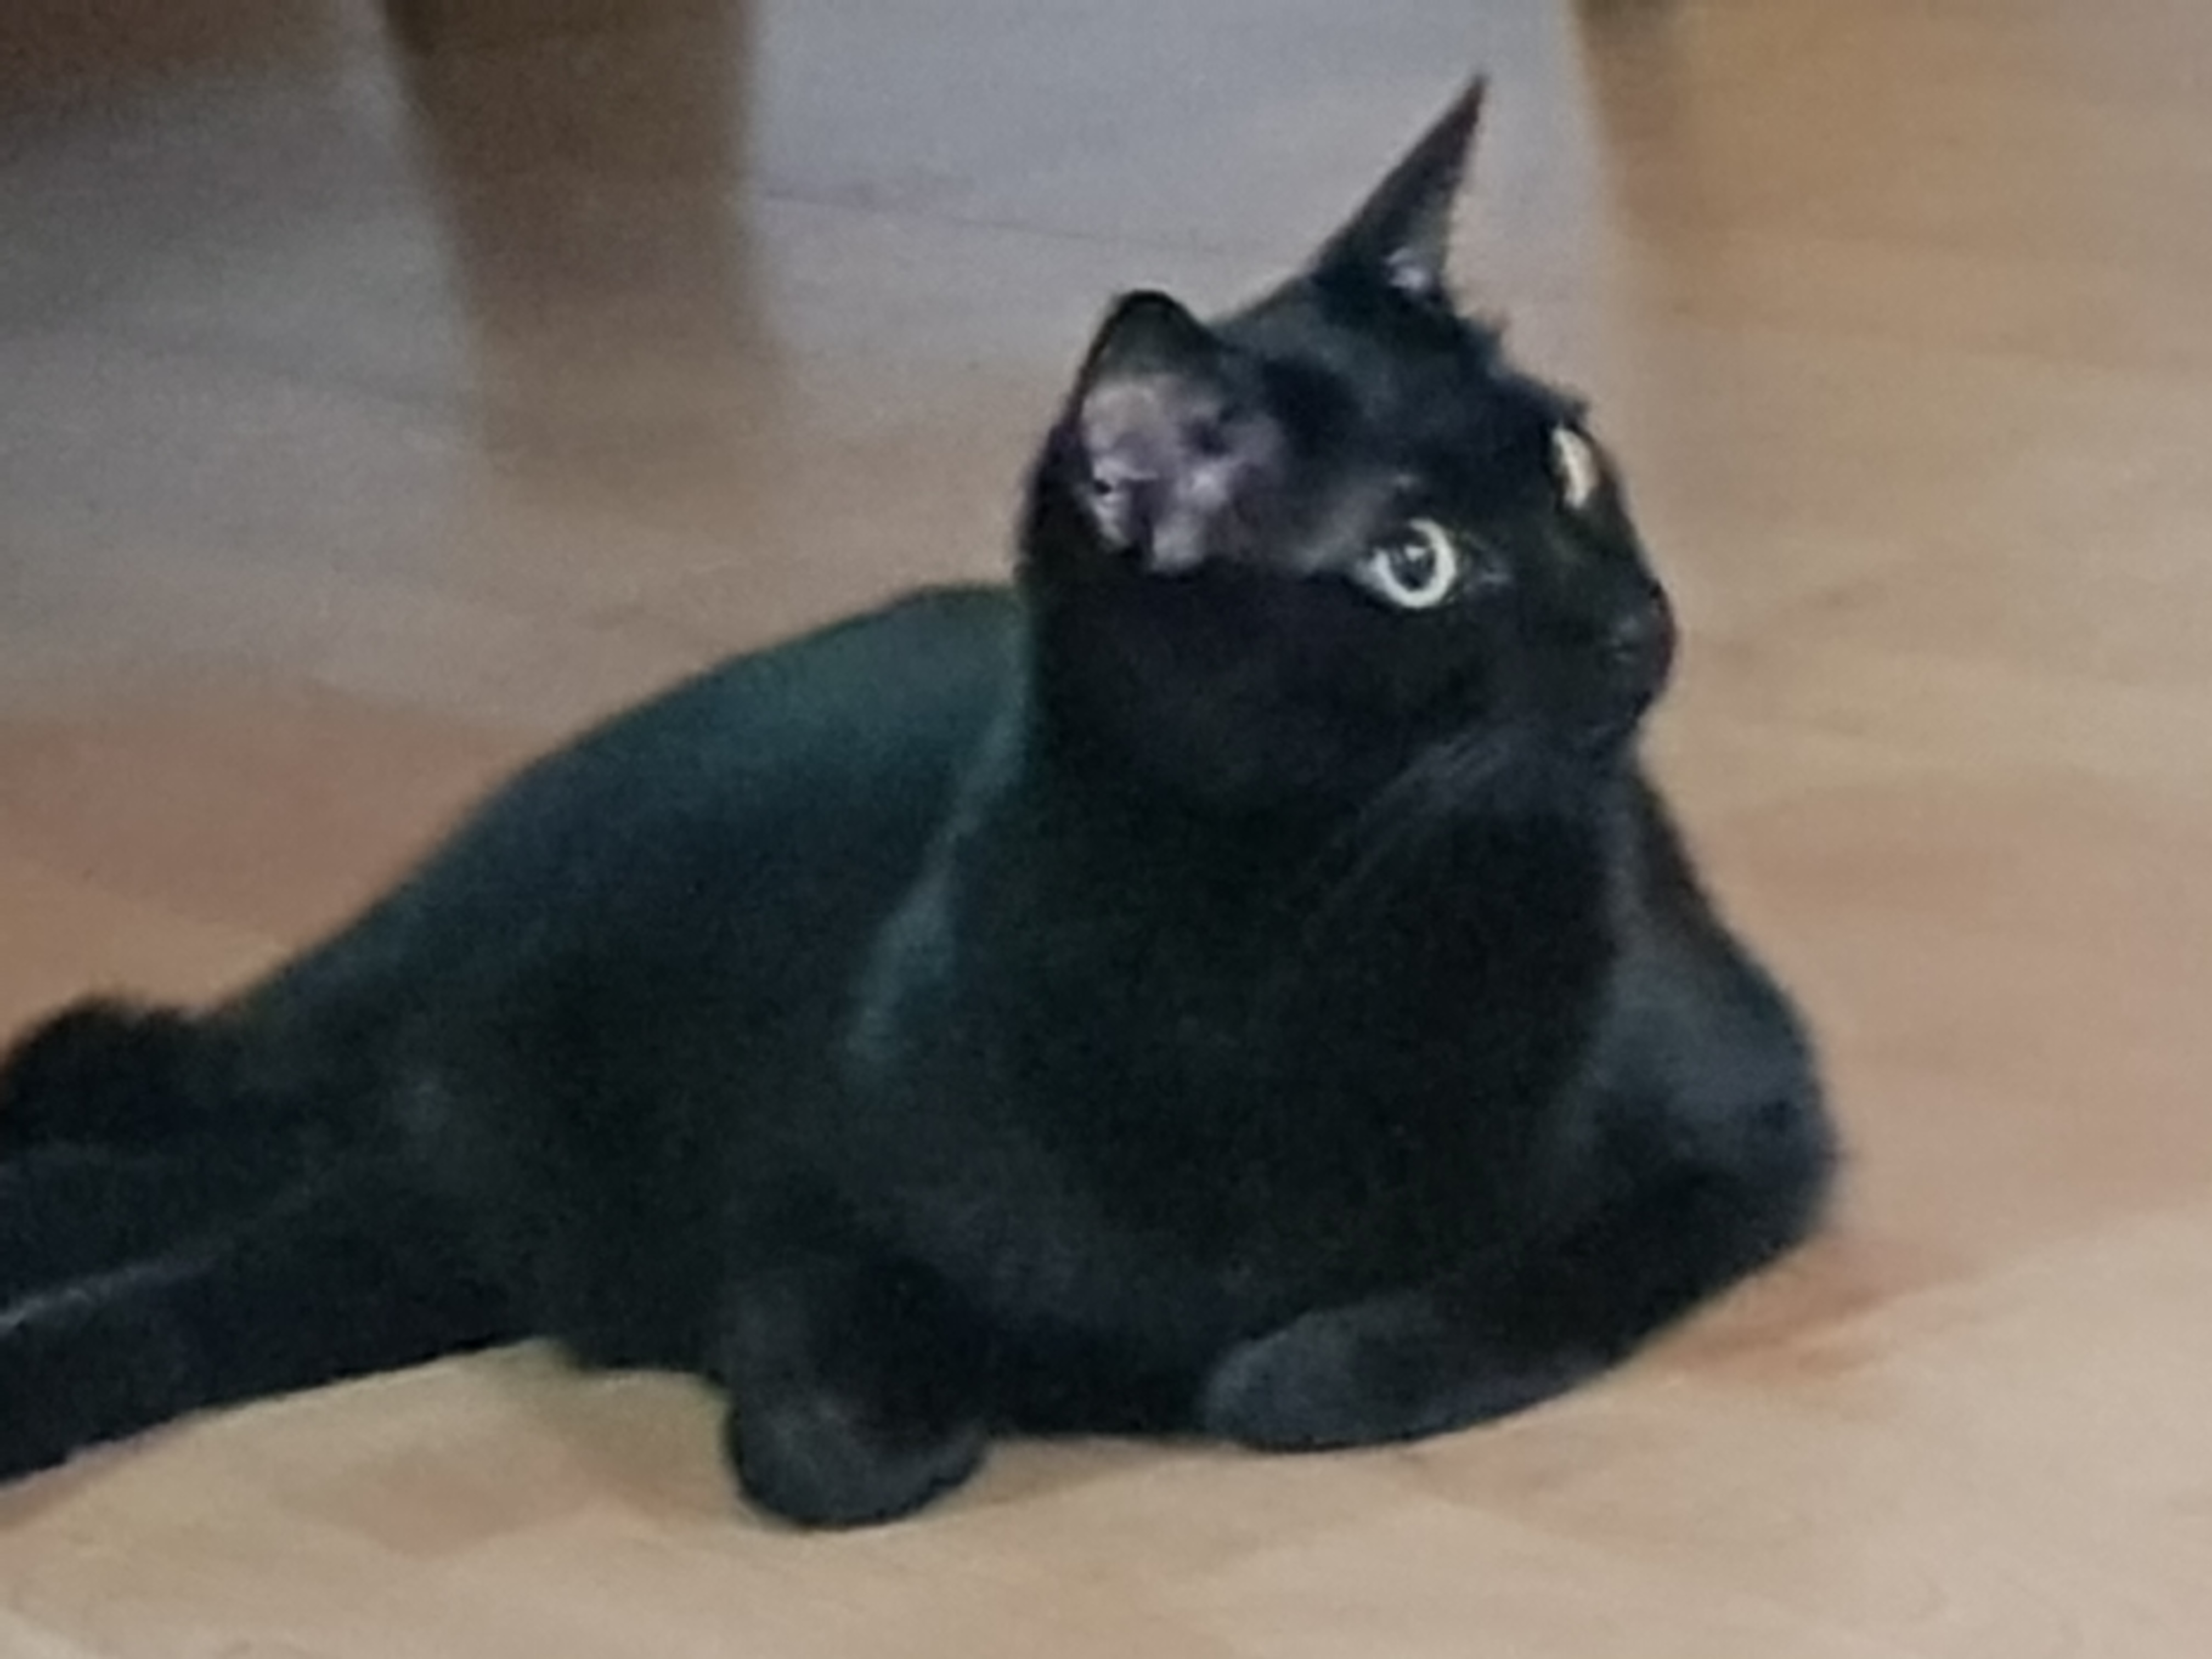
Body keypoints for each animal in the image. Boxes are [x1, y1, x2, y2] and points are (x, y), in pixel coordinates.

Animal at [0, 79, 1835, 1529]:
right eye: (1416, 564)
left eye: (1572, 462)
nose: (1641, 619)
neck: (1292, 909)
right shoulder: (806, 1202)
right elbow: (834, 1439)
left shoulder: (1751, 1129)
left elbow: (1462, 1314)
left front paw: (1290, 1362)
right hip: (402, 1093)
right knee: (173, 1152)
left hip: (409, 1225)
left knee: (192, 1259)